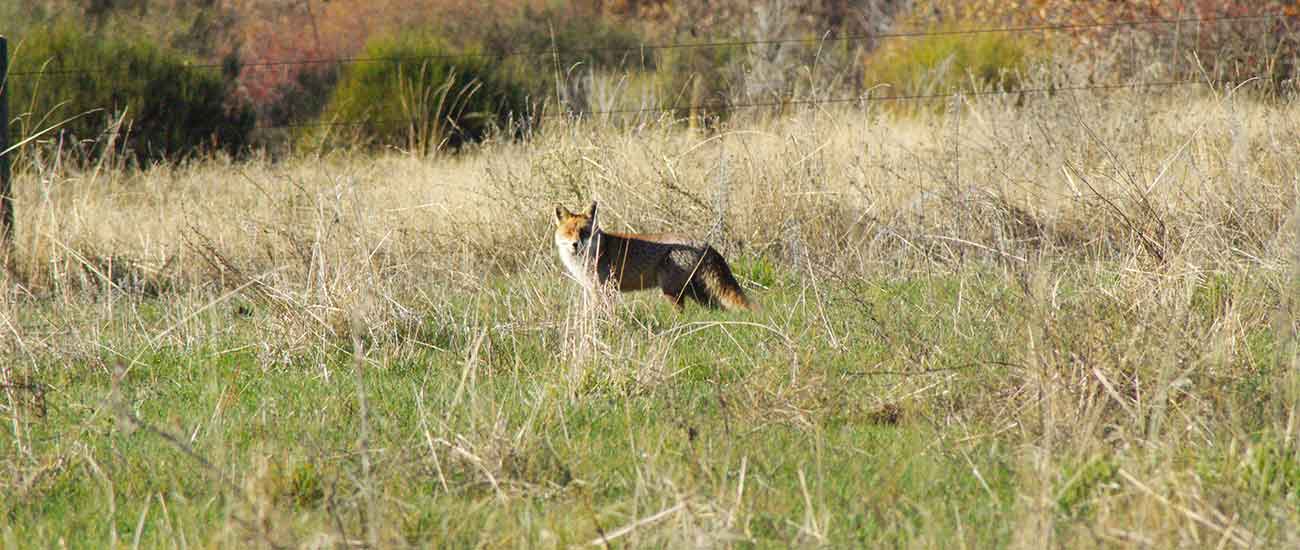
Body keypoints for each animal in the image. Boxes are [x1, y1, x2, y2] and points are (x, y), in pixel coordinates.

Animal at [554, 202, 756, 311]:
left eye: (584, 232)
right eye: (569, 232)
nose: (575, 244)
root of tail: (703, 243)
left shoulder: (605, 290)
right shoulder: (594, 290)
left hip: (671, 292)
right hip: (695, 292)